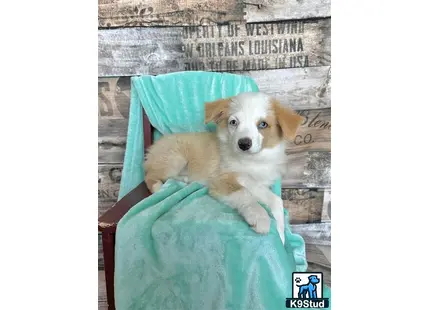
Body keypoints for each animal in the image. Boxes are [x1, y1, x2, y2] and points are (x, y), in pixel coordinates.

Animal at [144, 92, 302, 245]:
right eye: (233, 122)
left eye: (263, 124)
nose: (243, 144)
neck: (252, 161)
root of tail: (154, 146)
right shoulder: (221, 180)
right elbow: (245, 193)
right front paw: (260, 217)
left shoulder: (255, 182)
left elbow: (275, 200)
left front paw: (282, 236)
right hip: (175, 159)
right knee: (150, 175)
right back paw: (158, 187)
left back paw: (184, 179)